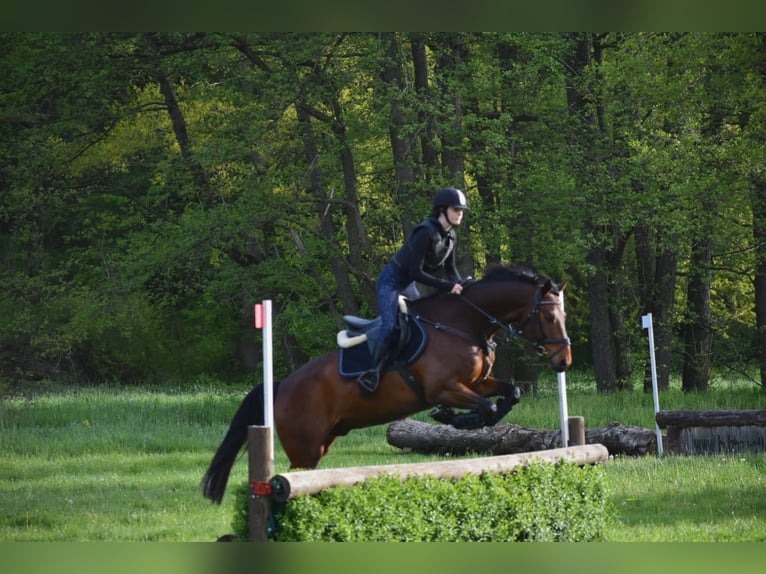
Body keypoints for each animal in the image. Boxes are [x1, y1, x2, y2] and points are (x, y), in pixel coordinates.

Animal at [201, 264, 572, 504]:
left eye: (563, 316)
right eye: (549, 316)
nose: (563, 362)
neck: (464, 323)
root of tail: (281, 386)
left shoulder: (476, 383)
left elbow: (509, 395)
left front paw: (460, 418)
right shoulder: (444, 388)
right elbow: (488, 407)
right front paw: (453, 419)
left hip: (321, 444)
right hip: (304, 446)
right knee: (295, 478)